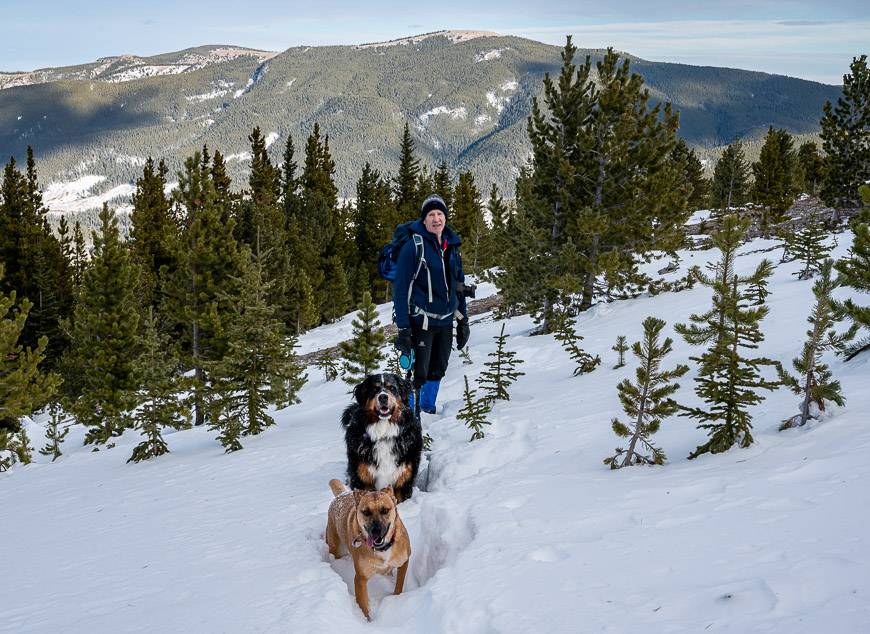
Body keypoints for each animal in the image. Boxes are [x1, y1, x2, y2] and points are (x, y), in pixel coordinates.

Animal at [328, 478, 412, 616]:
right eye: (366, 512)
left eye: (385, 510)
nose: (375, 530)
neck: (383, 549)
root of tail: (341, 495)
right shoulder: (360, 579)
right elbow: (363, 608)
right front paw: (366, 620)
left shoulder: (403, 561)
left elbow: (399, 585)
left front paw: (396, 598)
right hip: (335, 547)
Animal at [340, 370, 422, 504]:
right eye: (374, 389)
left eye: (392, 388)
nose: (383, 396)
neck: (384, 434)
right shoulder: (362, 479)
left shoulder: (403, 479)